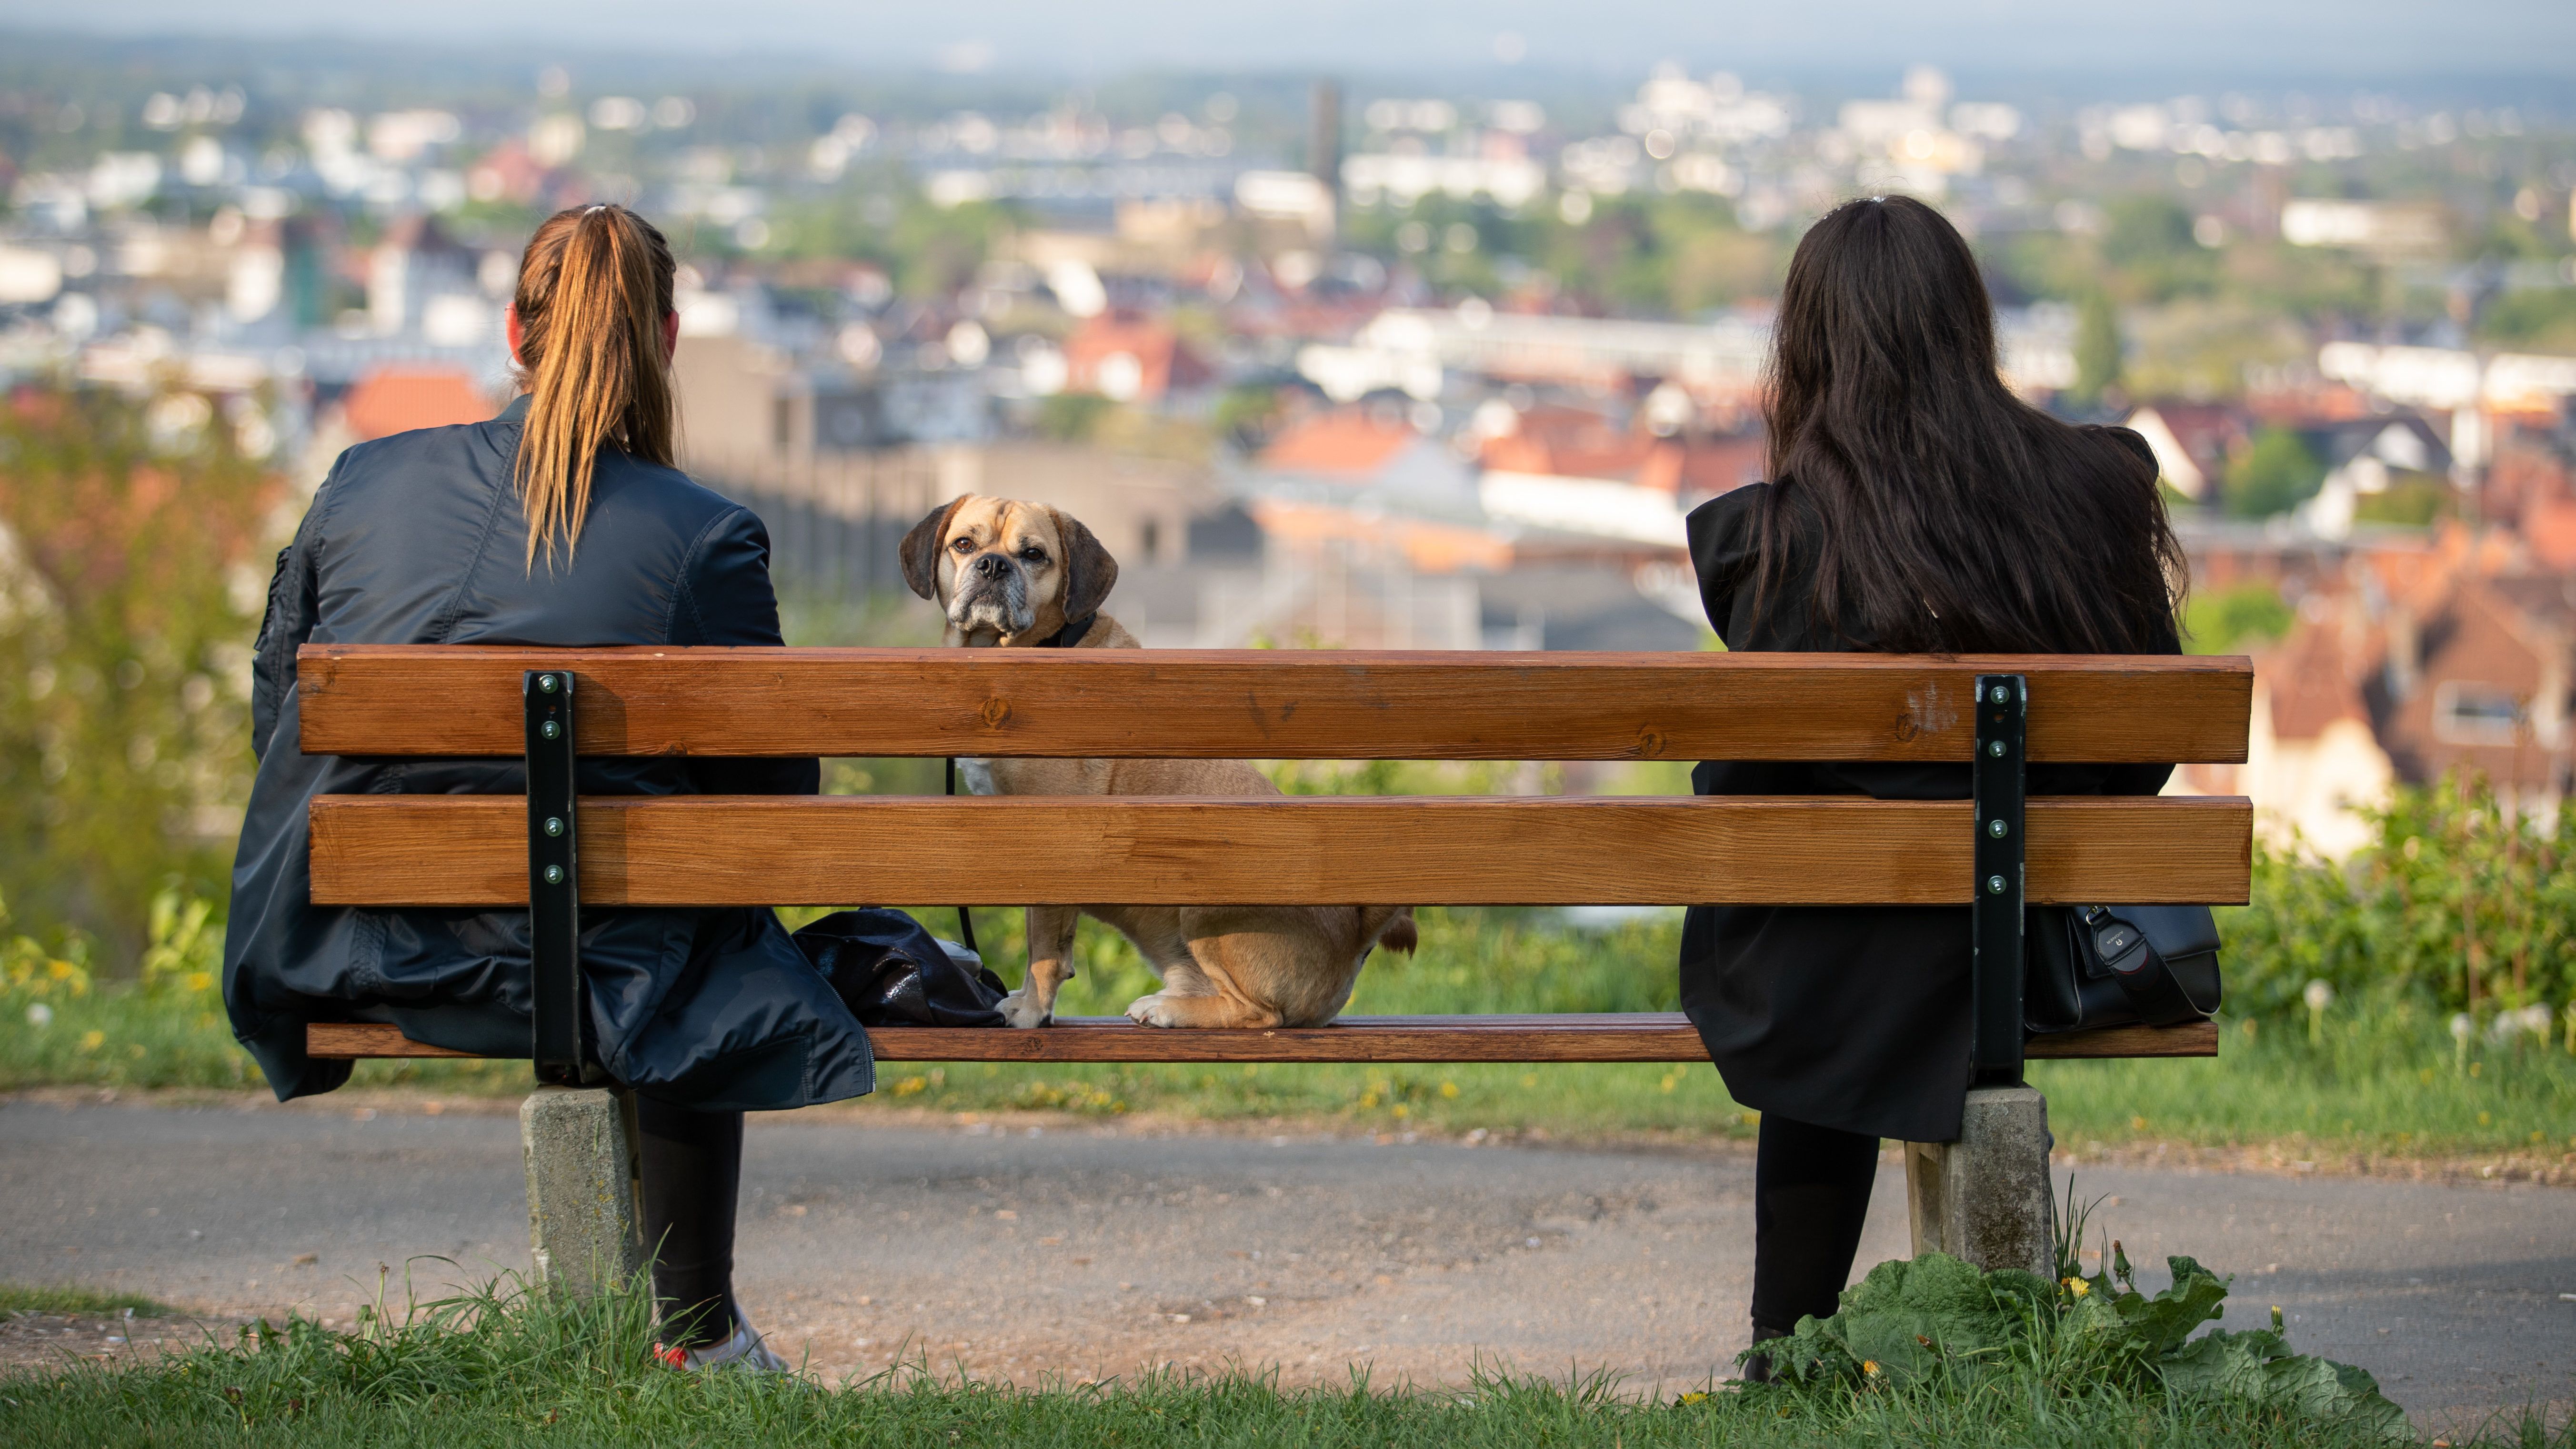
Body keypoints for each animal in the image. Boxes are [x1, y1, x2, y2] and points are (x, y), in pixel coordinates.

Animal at [902, 495, 1432, 1026]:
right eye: (963, 545)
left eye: (1034, 555)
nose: (993, 564)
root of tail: (1354, 937)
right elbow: (1050, 945)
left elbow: (1045, 953)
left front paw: (1032, 1013)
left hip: (1205, 911)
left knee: (1259, 1014)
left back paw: (1170, 1011)